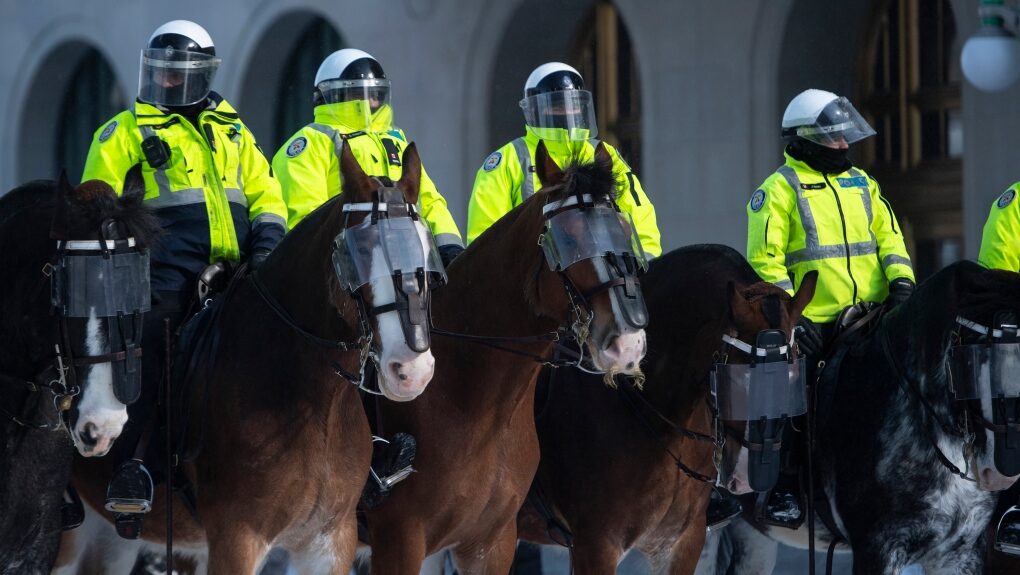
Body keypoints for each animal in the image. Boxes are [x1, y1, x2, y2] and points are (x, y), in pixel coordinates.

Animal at [55, 142, 441, 574]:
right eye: (362, 252)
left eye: (425, 254)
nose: (411, 370)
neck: (311, 406)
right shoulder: (237, 537)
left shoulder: (329, 542)